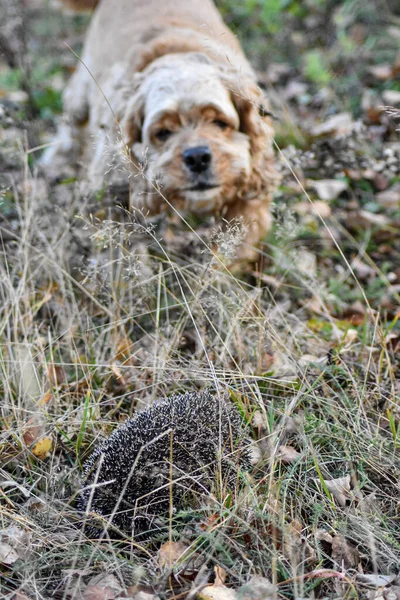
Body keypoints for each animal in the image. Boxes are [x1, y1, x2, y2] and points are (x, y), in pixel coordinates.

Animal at [40, 1, 278, 262]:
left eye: (219, 123)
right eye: (163, 133)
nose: (198, 158)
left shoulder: (251, 192)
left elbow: (230, 249)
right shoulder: (107, 195)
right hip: (81, 90)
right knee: (70, 124)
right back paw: (54, 163)